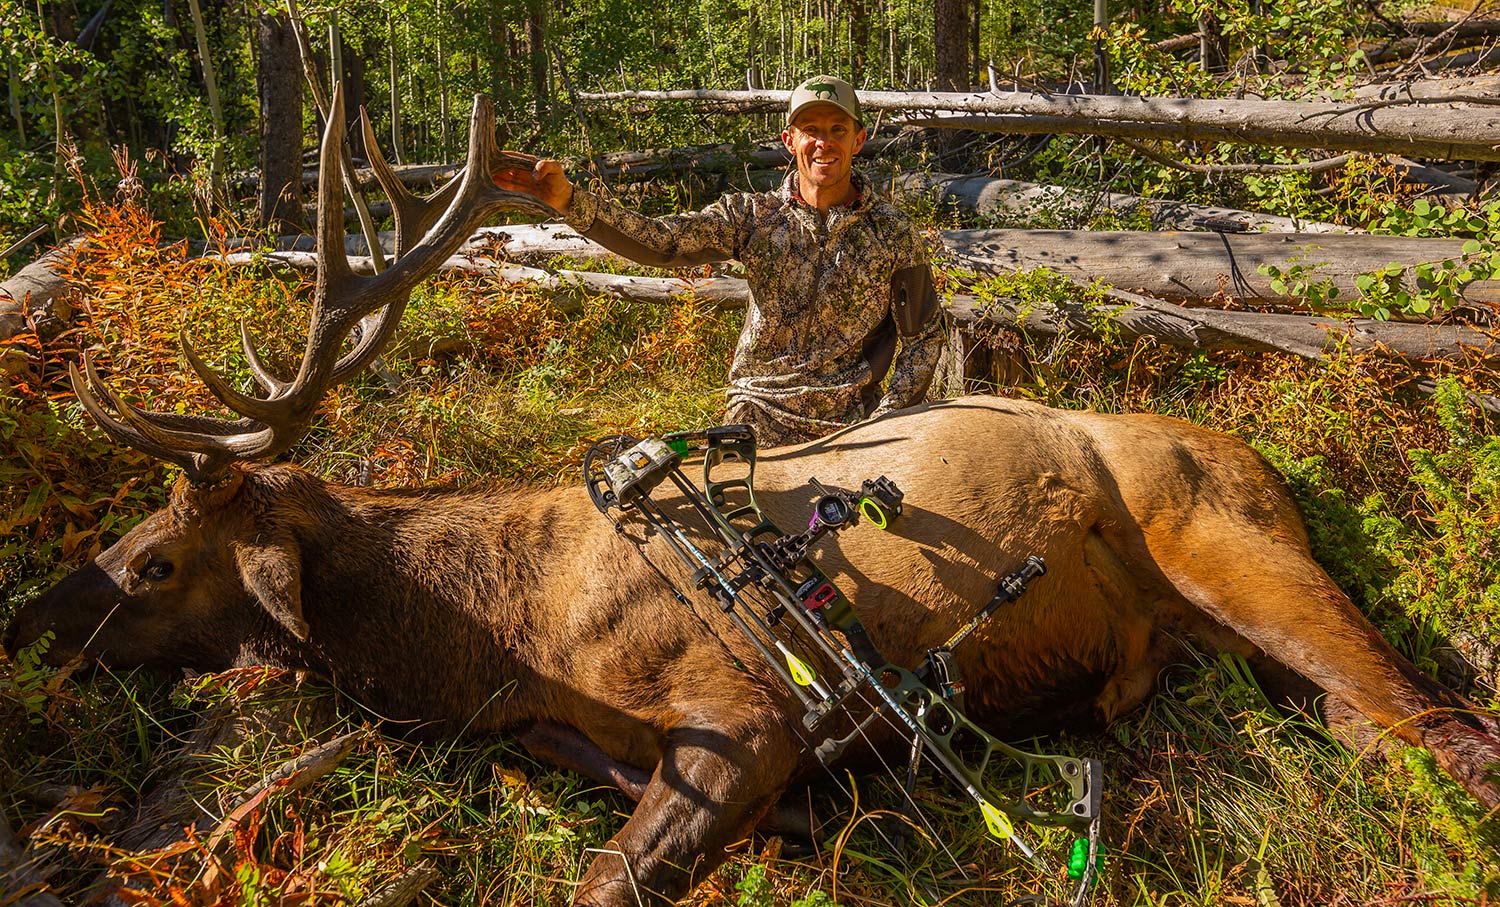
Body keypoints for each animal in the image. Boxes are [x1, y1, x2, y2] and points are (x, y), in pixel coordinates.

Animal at [5, 88, 1499, 907]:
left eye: (152, 559)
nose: (25, 623)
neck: (496, 639)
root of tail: (1266, 462)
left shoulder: (749, 706)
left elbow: (606, 875)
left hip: (1231, 541)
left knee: (1435, 719)